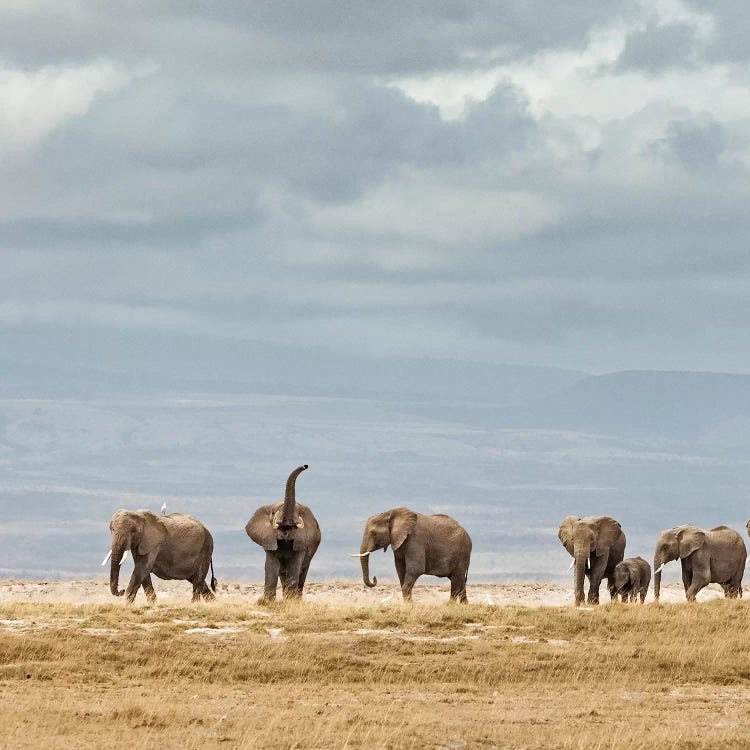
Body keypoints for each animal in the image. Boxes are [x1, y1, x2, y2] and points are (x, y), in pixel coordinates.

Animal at [244, 468, 320, 604]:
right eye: (273, 512)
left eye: (299, 513)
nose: (305, 465)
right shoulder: (269, 541)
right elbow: (270, 567)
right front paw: (268, 602)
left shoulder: (301, 542)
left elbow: (294, 567)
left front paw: (291, 602)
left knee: (302, 573)